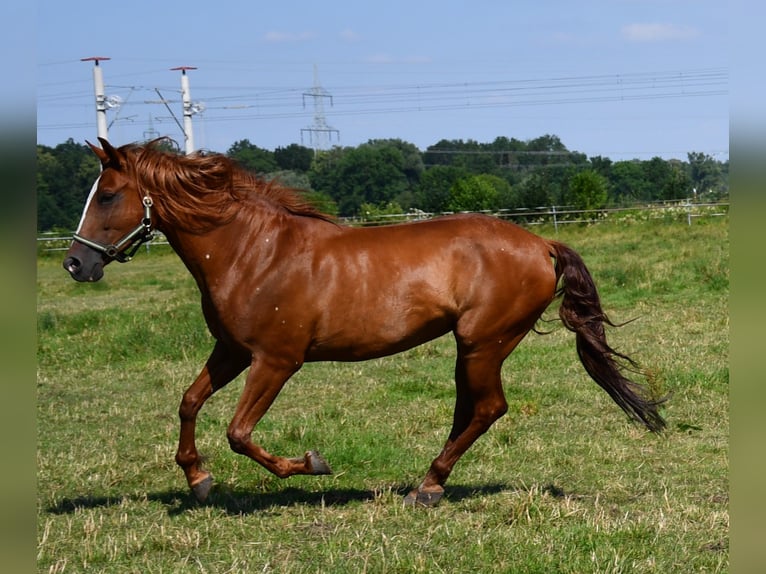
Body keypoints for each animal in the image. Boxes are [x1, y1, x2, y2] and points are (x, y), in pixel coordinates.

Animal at [64, 138, 664, 508]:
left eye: (109, 195)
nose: (76, 264)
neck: (252, 252)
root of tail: (542, 244)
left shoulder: (277, 360)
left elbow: (239, 433)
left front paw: (312, 464)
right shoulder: (231, 351)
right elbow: (189, 403)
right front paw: (199, 481)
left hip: (484, 341)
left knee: (488, 408)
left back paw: (428, 486)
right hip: (470, 348)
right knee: (469, 409)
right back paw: (428, 484)